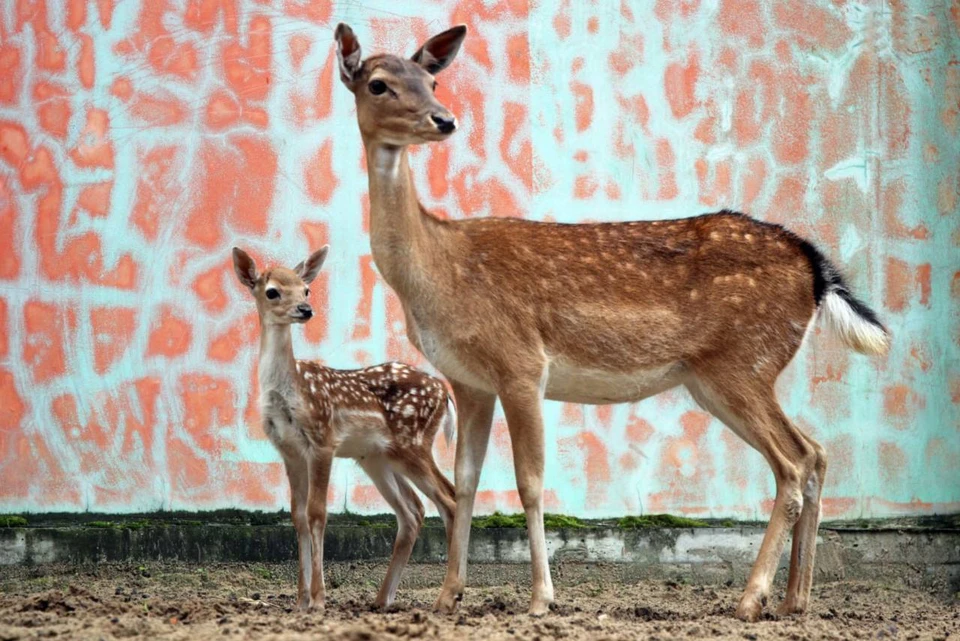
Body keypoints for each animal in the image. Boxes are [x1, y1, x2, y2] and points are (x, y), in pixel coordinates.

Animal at [232, 244, 458, 608]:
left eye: (306, 289)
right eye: (272, 291)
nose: (306, 310)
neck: (289, 391)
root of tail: (444, 392)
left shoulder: (323, 440)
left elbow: (317, 513)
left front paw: (319, 599)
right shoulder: (289, 450)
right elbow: (297, 515)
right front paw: (300, 601)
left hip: (413, 442)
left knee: (449, 500)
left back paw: (447, 598)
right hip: (378, 457)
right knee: (413, 511)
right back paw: (382, 600)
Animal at [336, 25, 892, 620]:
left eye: (433, 80)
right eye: (378, 83)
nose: (444, 119)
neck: (439, 271)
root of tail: (816, 267)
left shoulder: (521, 362)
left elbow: (529, 482)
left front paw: (541, 598)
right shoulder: (469, 380)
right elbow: (465, 482)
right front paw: (447, 596)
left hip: (743, 363)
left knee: (792, 463)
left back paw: (750, 598)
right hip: (722, 377)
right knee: (816, 452)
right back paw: (794, 600)